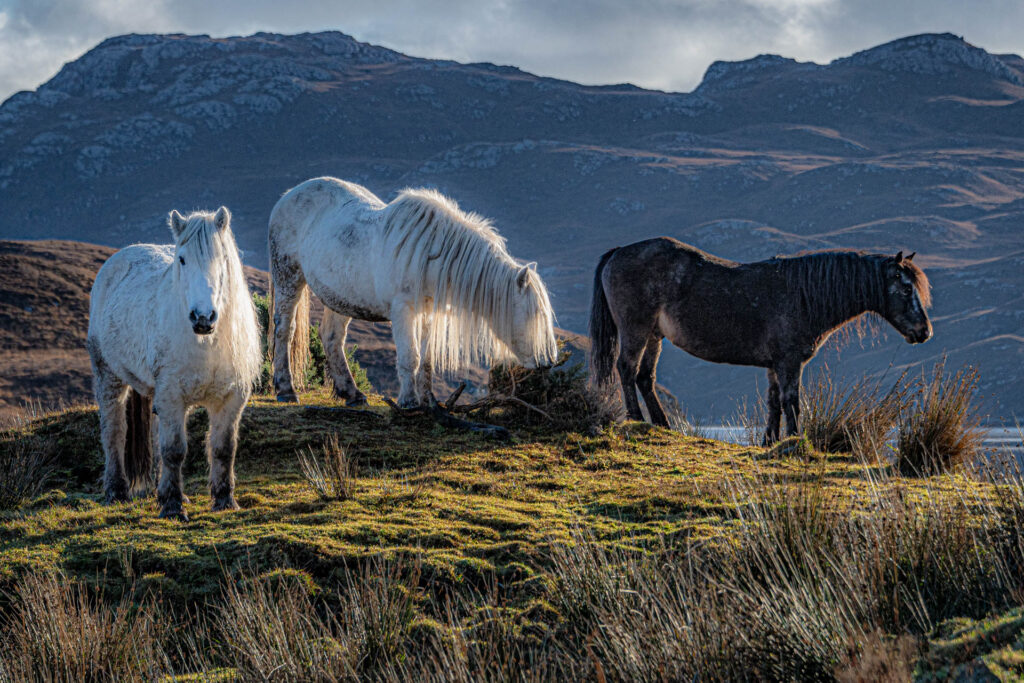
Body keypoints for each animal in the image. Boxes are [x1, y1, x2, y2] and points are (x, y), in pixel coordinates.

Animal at [87, 205, 260, 520]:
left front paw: (224, 500)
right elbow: (174, 450)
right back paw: (117, 491)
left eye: (223, 258)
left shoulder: (232, 398)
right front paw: (172, 507)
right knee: (114, 431)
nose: (203, 317)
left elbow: (223, 448)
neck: (207, 343)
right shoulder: (171, 396)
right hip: (108, 377)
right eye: (182, 259)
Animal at [268, 179, 557, 409]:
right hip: (288, 279)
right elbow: (410, 357)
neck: (433, 255)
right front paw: (408, 402)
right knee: (284, 331)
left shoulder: (428, 311)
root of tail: (288, 195)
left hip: (339, 297)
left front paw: (429, 401)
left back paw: (352, 394)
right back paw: (286, 389)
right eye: (534, 314)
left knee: (331, 337)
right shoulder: (403, 310)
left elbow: (426, 361)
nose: (549, 361)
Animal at [589, 239, 933, 444]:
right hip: (635, 330)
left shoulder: (774, 364)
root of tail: (618, 251)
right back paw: (636, 420)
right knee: (627, 370)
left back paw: (662, 425)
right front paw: (794, 439)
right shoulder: (789, 362)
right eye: (905, 288)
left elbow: (773, 403)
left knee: (645, 377)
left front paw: (771, 441)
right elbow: (792, 401)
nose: (925, 332)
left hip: (654, 335)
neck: (804, 295)